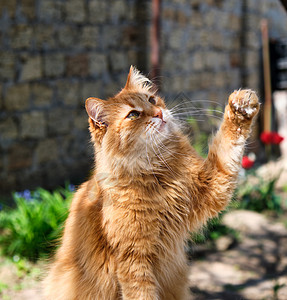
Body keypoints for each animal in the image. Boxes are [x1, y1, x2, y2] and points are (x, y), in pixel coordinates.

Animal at [43, 67, 260, 298]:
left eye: (152, 100)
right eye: (133, 115)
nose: (159, 113)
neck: (159, 174)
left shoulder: (213, 184)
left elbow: (228, 143)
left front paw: (242, 107)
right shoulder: (134, 260)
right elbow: (142, 295)